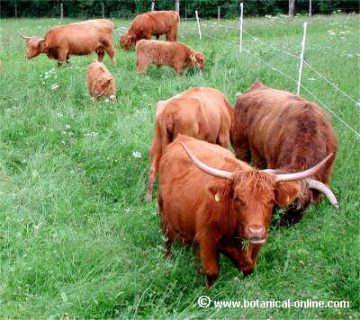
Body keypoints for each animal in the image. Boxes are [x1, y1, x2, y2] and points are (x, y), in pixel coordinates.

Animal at [159, 134, 336, 286]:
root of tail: (181, 137)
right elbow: (211, 273)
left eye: (271, 201)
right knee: (166, 240)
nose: (255, 231)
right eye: (238, 199)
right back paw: (167, 261)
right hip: (164, 215)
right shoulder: (207, 239)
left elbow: (248, 268)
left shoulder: (256, 243)